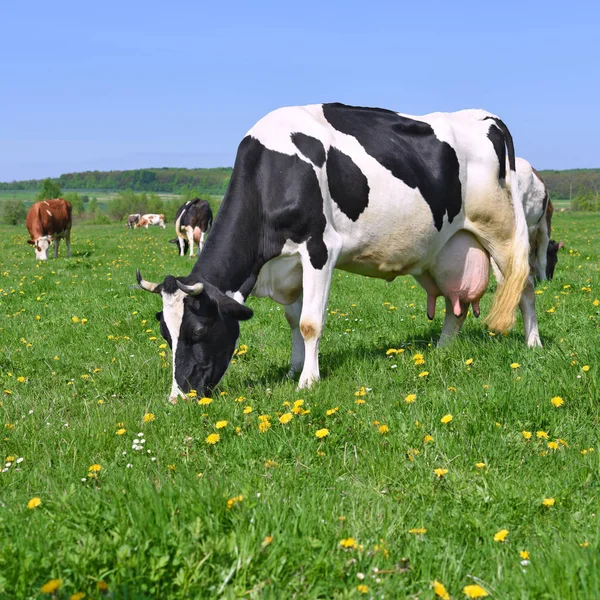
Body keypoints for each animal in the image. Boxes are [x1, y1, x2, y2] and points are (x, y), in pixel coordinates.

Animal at [136, 103, 528, 404]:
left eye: (199, 331)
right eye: (166, 335)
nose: (178, 397)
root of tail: (486, 116)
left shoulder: (320, 248)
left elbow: (310, 323)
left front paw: (307, 381)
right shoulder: (290, 266)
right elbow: (292, 319)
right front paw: (294, 368)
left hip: (503, 231)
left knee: (523, 286)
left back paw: (532, 344)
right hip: (447, 248)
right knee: (455, 304)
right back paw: (443, 350)